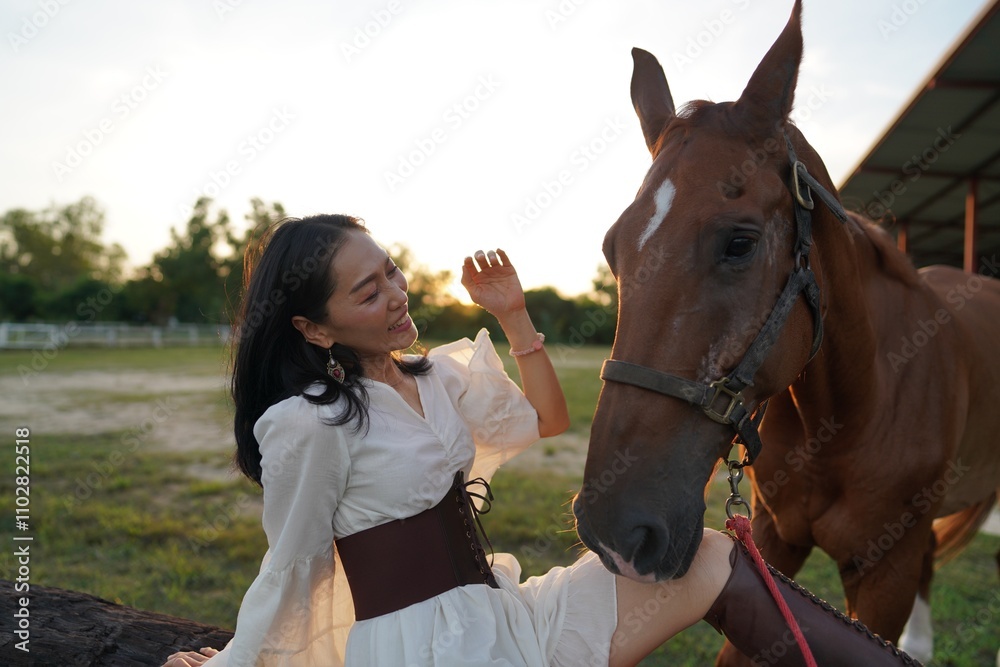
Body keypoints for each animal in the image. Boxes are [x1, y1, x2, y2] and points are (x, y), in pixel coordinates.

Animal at [572, 2, 1000, 664]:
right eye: (612, 249)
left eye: (740, 242)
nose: (614, 530)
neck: (858, 408)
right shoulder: (772, 547)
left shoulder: (885, 573)